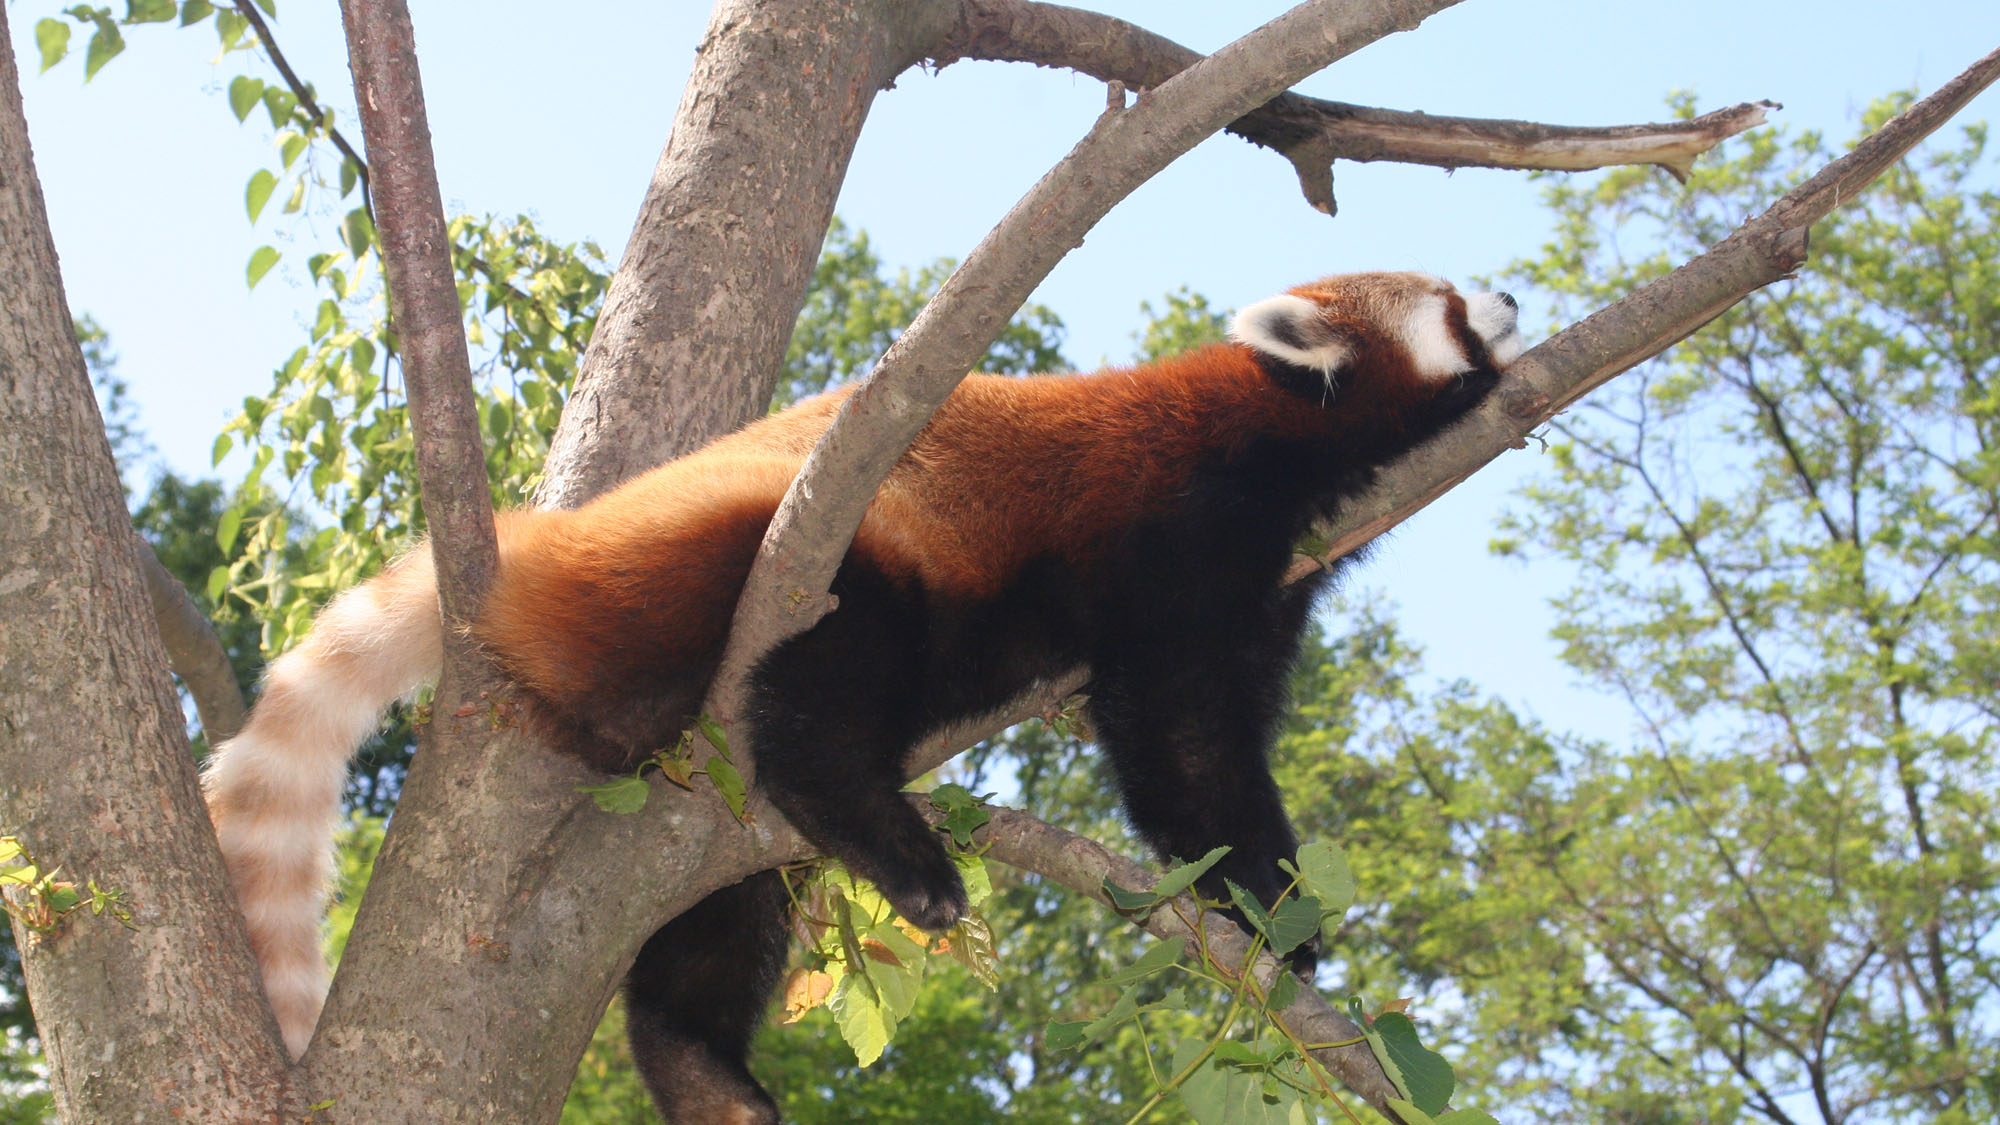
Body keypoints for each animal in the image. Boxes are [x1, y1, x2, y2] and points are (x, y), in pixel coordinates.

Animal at [203, 270, 1520, 1112]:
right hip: (788, 559)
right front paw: (1262, 897)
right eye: (1449, 297)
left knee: (715, 924)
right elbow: (1174, 733)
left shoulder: (1272, 584)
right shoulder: (1172, 523)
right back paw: (892, 844)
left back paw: (702, 1070)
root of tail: (543, 550)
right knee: (818, 698)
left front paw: (1277, 906)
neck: (1264, 427)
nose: (1509, 296)